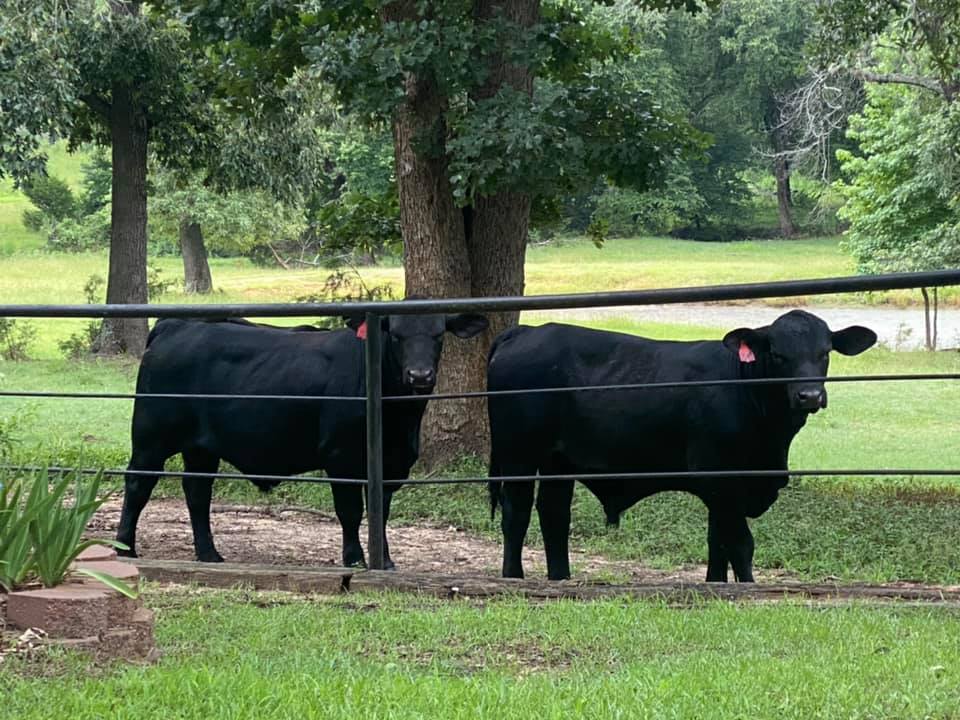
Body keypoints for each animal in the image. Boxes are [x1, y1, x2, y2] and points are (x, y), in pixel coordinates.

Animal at [116, 309, 488, 569]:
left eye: (438, 335)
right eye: (396, 335)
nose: (419, 375)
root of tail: (176, 325)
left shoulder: (391, 462)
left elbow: (379, 512)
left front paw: (385, 561)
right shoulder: (341, 457)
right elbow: (351, 512)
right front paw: (354, 559)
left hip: (201, 447)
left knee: (197, 492)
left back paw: (209, 554)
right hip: (150, 439)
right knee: (138, 485)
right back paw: (125, 548)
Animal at [487, 310, 876, 582]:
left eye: (825, 353)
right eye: (779, 355)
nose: (810, 395)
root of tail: (527, 331)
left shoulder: (724, 490)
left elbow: (717, 542)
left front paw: (716, 584)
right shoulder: (719, 478)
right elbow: (740, 544)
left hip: (559, 461)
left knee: (554, 514)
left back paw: (561, 579)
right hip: (518, 454)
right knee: (517, 513)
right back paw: (513, 577)